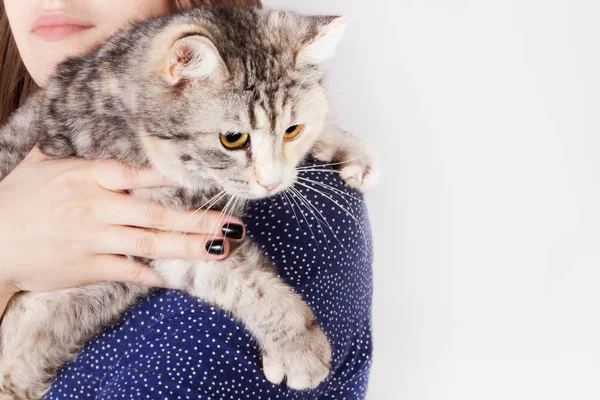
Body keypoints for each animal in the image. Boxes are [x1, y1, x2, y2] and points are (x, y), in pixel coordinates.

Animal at [0, 4, 378, 398]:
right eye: (232, 138)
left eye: (292, 130)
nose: (271, 183)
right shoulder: (165, 233)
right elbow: (248, 282)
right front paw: (298, 347)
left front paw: (350, 150)